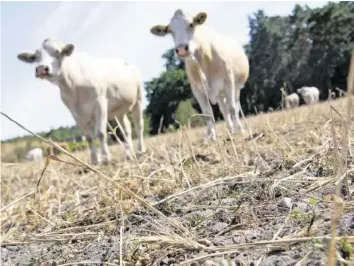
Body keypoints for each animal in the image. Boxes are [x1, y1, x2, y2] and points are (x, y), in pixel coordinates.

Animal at [16, 38, 145, 165]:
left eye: (57, 52)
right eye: (35, 57)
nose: (42, 69)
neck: (73, 85)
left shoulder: (100, 103)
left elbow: (101, 132)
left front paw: (105, 158)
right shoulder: (75, 113)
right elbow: (88, 137)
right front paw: (94, 160)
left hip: (138, 99)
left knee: (139, 125)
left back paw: (140, 150)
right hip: (119, 111)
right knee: (127, 129)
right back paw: (129, 154)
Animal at [149, 9, 249, 140]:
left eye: (191, 24)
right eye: (170, 31)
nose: (181, 48)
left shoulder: (229, 82)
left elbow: (232, 108)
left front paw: (240, 131)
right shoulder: (197, 90)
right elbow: (207, 112)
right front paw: (210, 136)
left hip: (237, 87)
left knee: (235, 106)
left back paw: (237, 128)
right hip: (219, 94)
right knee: (224, 109)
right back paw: (230, 130)